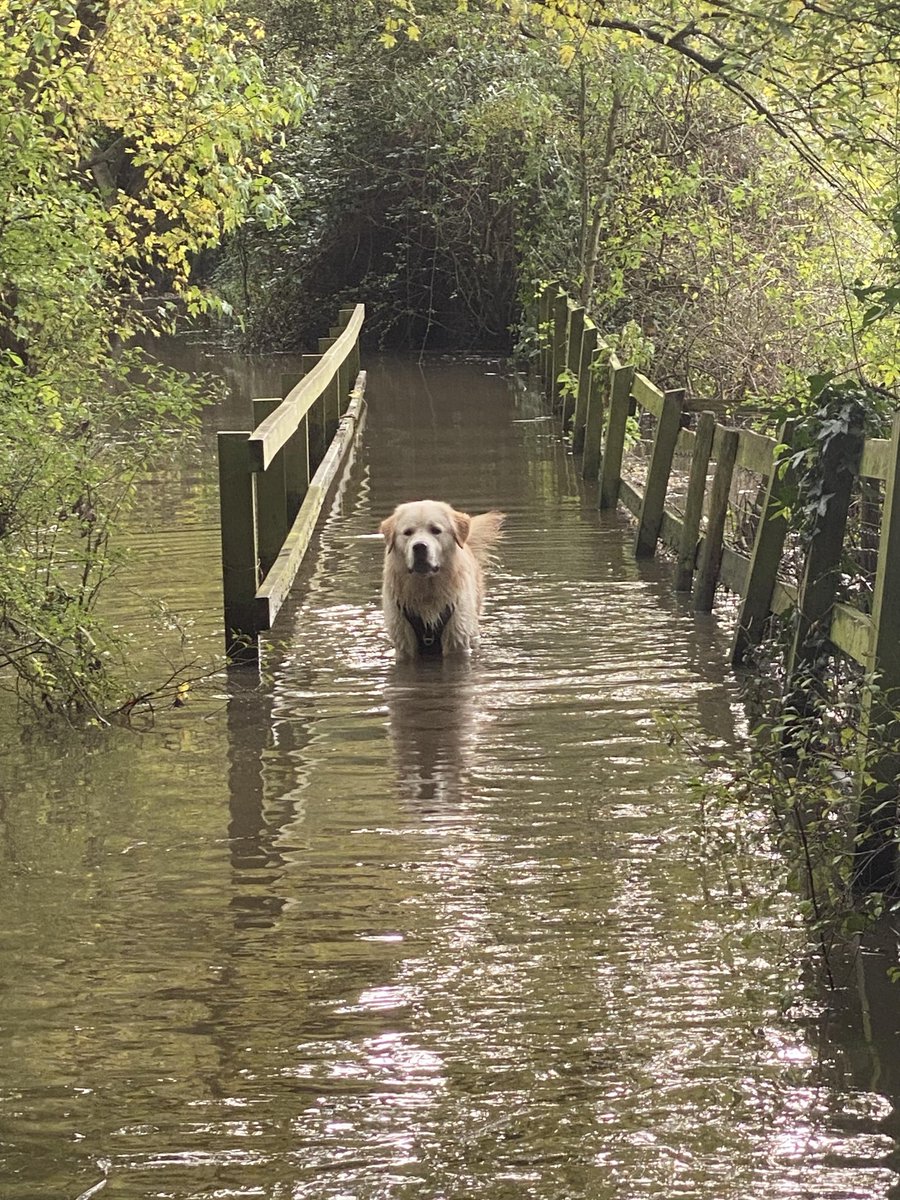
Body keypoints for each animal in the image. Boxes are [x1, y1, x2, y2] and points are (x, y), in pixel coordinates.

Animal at [381, 501, 508, 662]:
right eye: (408, 532)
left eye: (435, 530)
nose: (419, 546)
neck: (427, 592)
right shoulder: (404, 643)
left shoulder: (457, 639)